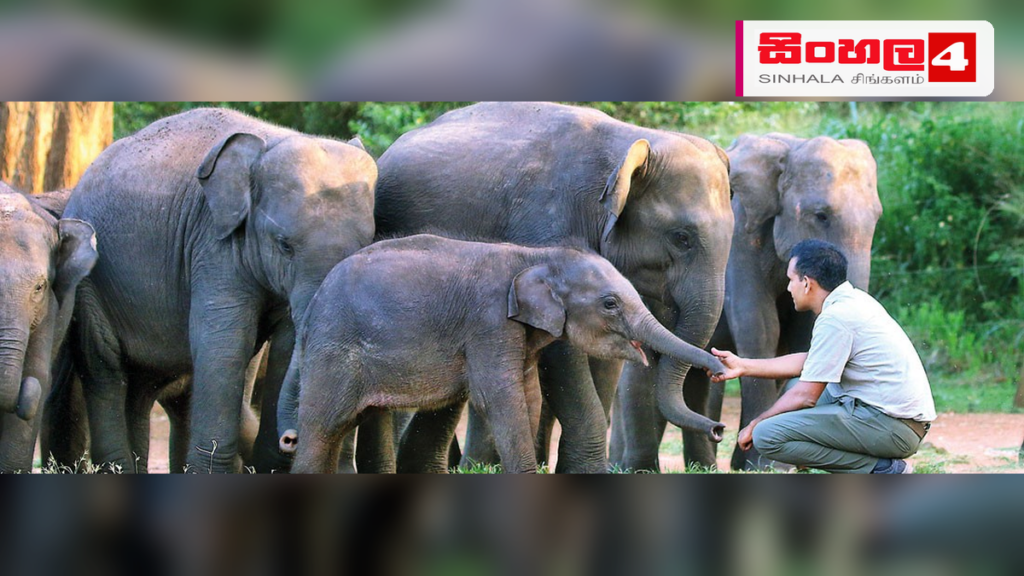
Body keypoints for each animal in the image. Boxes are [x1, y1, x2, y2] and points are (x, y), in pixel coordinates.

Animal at [62, 107, 376, 473]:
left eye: (367, 244)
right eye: (284, 245)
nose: (290, 439)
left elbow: (285, 343)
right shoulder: (213, 243)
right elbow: (226, 342)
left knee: (141, 387)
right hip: (89, 284)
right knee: (104, 366)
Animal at [276, 235, 726, 474]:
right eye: (610, 304)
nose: (720, 429)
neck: (535, 256)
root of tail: (312, 306)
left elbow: (528, 396)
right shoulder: (489, 323)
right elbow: (499, 397)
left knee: (349, 423)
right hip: (334, 349)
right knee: (324, 425)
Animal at [372, 102, 734, 473]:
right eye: (682, 238)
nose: (719, 429)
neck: (631, 141)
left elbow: (606, 354)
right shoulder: (544, 225)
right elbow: (561, 352)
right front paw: (587, 471)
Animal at [610, 133, 882, 471]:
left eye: (877, 218)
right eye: (821, 215)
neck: (789, 148)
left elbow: (802, 336)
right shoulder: (741, 238)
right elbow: (760, 328)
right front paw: (760, 464)